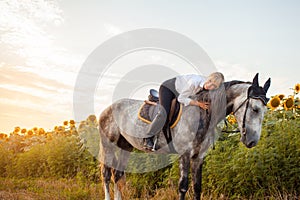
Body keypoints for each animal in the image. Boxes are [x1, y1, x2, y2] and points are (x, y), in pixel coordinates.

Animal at [99, 73, 272, 200]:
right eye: (255, 109)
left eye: (265, 110)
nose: (252, 141)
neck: (202, 113)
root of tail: (107, 108)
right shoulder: (185, 154)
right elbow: (183, 186)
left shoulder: (199, 156)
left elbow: (197, 187)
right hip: (108, 145)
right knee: (106, 176)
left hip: (125, 146)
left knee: (117, 175)